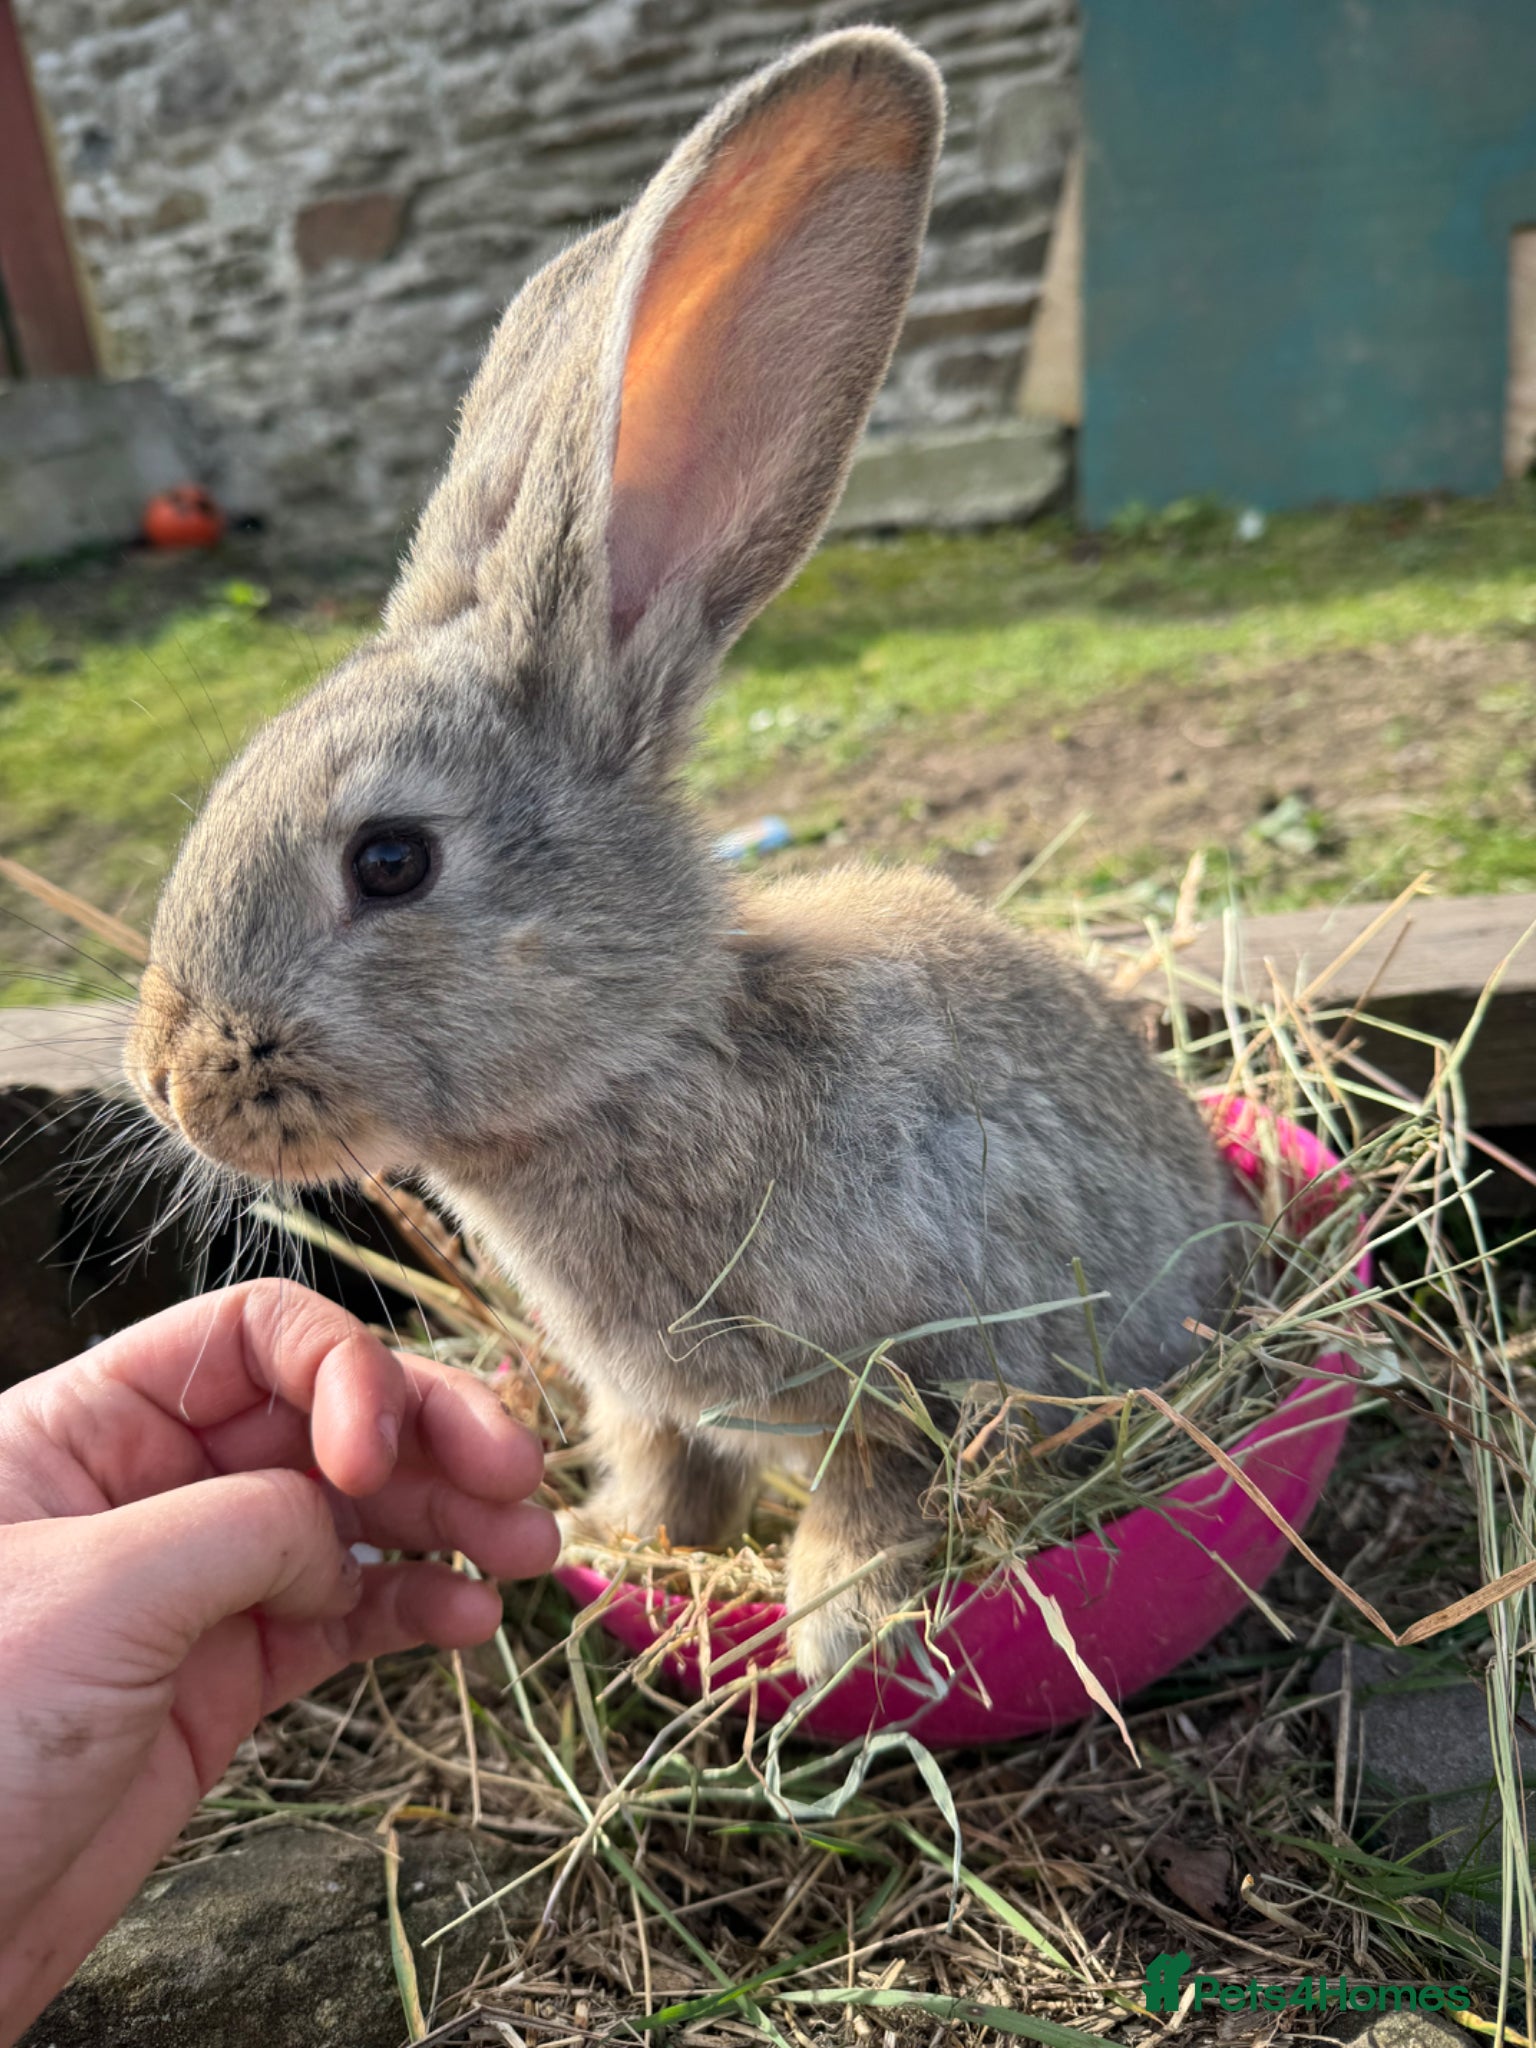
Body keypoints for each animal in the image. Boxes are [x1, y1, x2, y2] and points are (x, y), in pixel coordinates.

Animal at [125, 27, 1235, 1684]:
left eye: (390, 861)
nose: (172, 1080)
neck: (634, 1064)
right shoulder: (654, 1395)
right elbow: (665, 1468)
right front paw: (610, 1542)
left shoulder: (895, 1360)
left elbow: (881, 1483)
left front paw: (836, 1623)